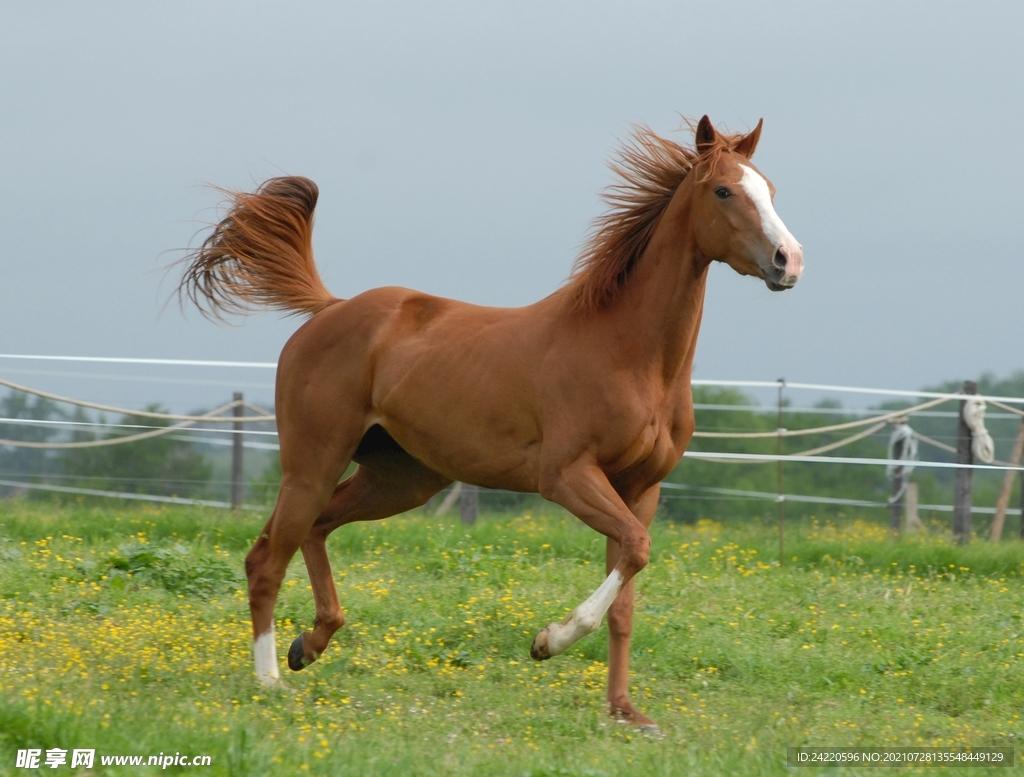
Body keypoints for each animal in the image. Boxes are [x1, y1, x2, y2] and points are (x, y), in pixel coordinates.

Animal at [177, 115, 803, 730]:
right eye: (723, 191)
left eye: (770, 190)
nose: (789, 261)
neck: (630, 354)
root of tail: (329, 309)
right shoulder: (567, 476)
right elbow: (635, 550)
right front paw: (548, 641)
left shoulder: (640, 488)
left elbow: (627, 590)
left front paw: (625, 711)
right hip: (313, 462)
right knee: (267, 558)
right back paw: (270, 680)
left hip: (399, 479)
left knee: (315, 530)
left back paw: (309, 645)